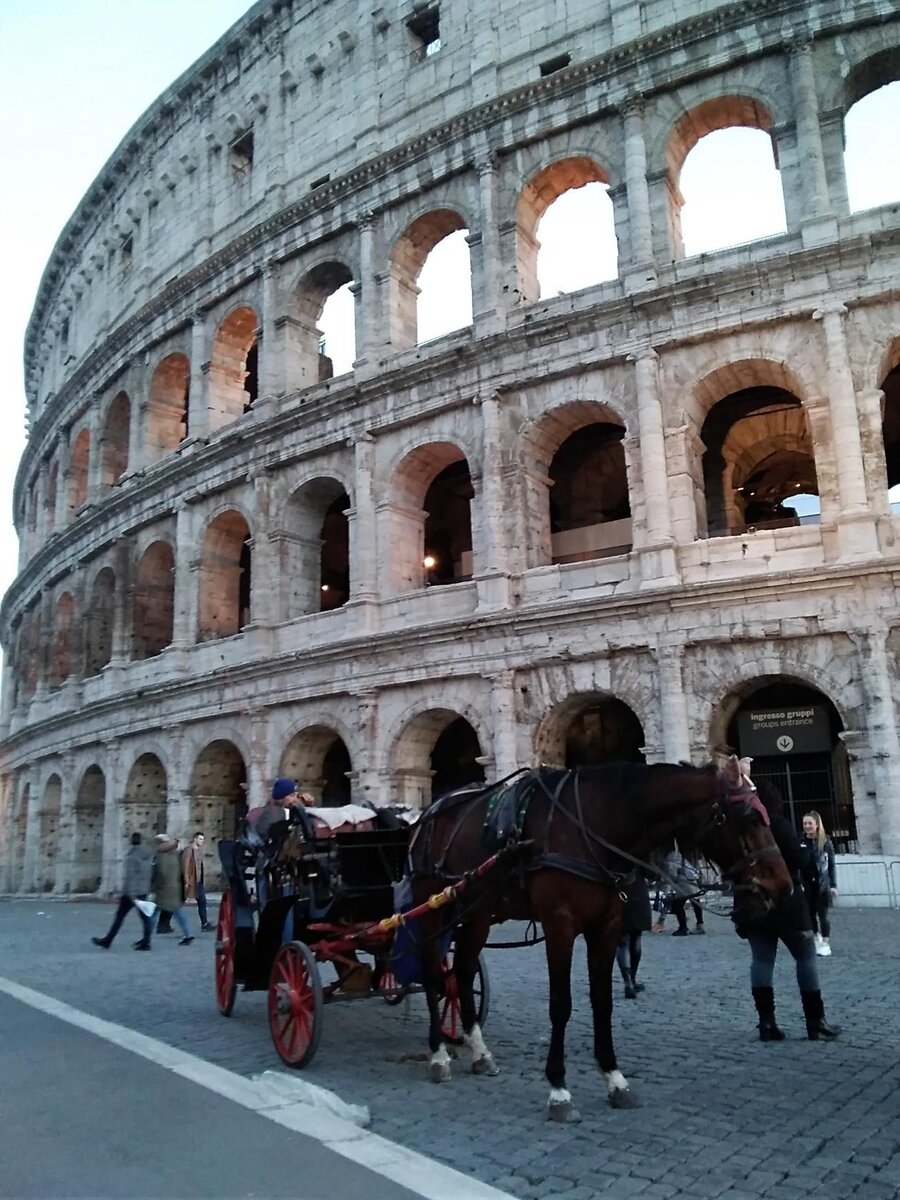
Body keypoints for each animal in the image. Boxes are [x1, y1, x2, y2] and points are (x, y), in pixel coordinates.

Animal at [408, 753, 796, 1118]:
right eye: (748, 817)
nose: (784, 885)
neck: (593, 827)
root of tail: (430, 812)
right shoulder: (559, 925)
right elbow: (561, 1004)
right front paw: (559, 1090)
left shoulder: (607, 926)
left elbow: (602, 1001)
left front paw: (615, 1079)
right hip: (432, 904)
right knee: (431, 973)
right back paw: (438, 1055)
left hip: (478, 912)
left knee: (462, 971)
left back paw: (479, 1052)